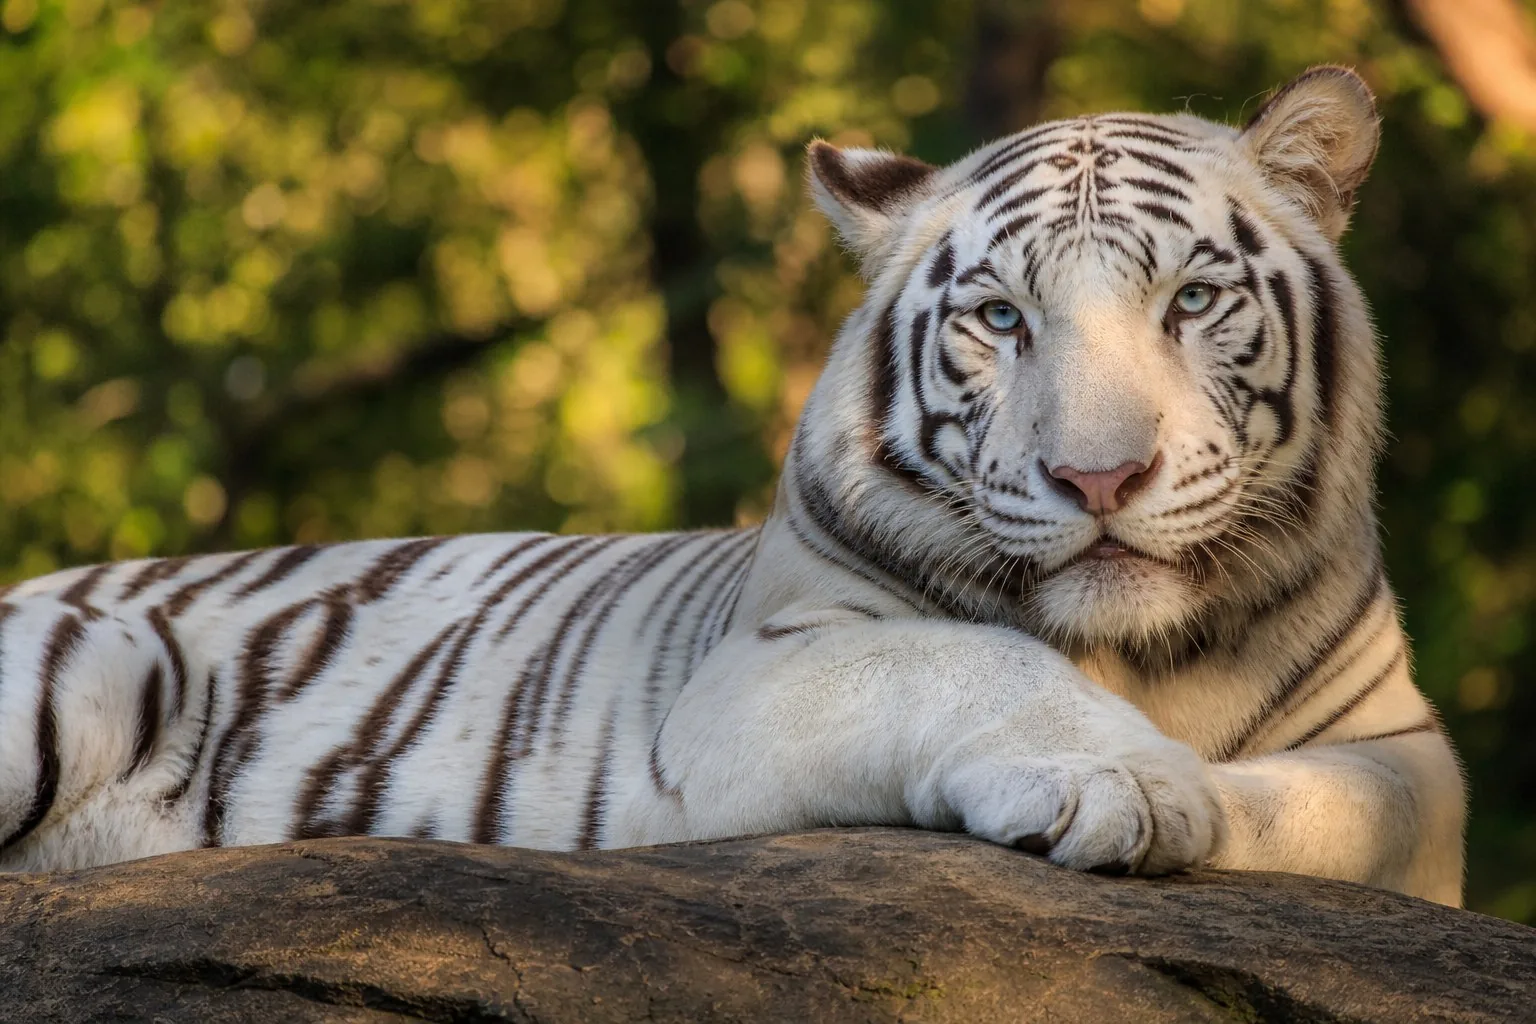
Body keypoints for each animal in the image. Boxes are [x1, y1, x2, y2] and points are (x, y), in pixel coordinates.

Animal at [0, 66, 1465, 906]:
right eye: (1000, 318)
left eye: (1195, 301)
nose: (1098, 476)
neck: (1145, 653)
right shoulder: (756, 679)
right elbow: (974, 660)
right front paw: (1125, 783)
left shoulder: (1408, 754)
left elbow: (1334, 803)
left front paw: (1197, 801)